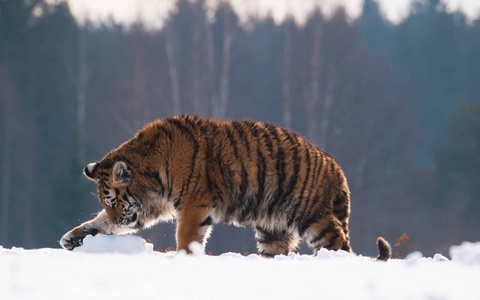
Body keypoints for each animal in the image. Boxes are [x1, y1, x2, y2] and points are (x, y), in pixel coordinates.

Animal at [59, 115, 390, 260]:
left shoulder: (194, 204)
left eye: (114, 201)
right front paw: (73, 238)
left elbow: (186, 236)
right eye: (106, 203)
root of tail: (336, 166)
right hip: (273, 229)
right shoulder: (151, 207)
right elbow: (100, 224)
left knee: (338, 239)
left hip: (312, 215)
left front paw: (184, 259)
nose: (118, 217)